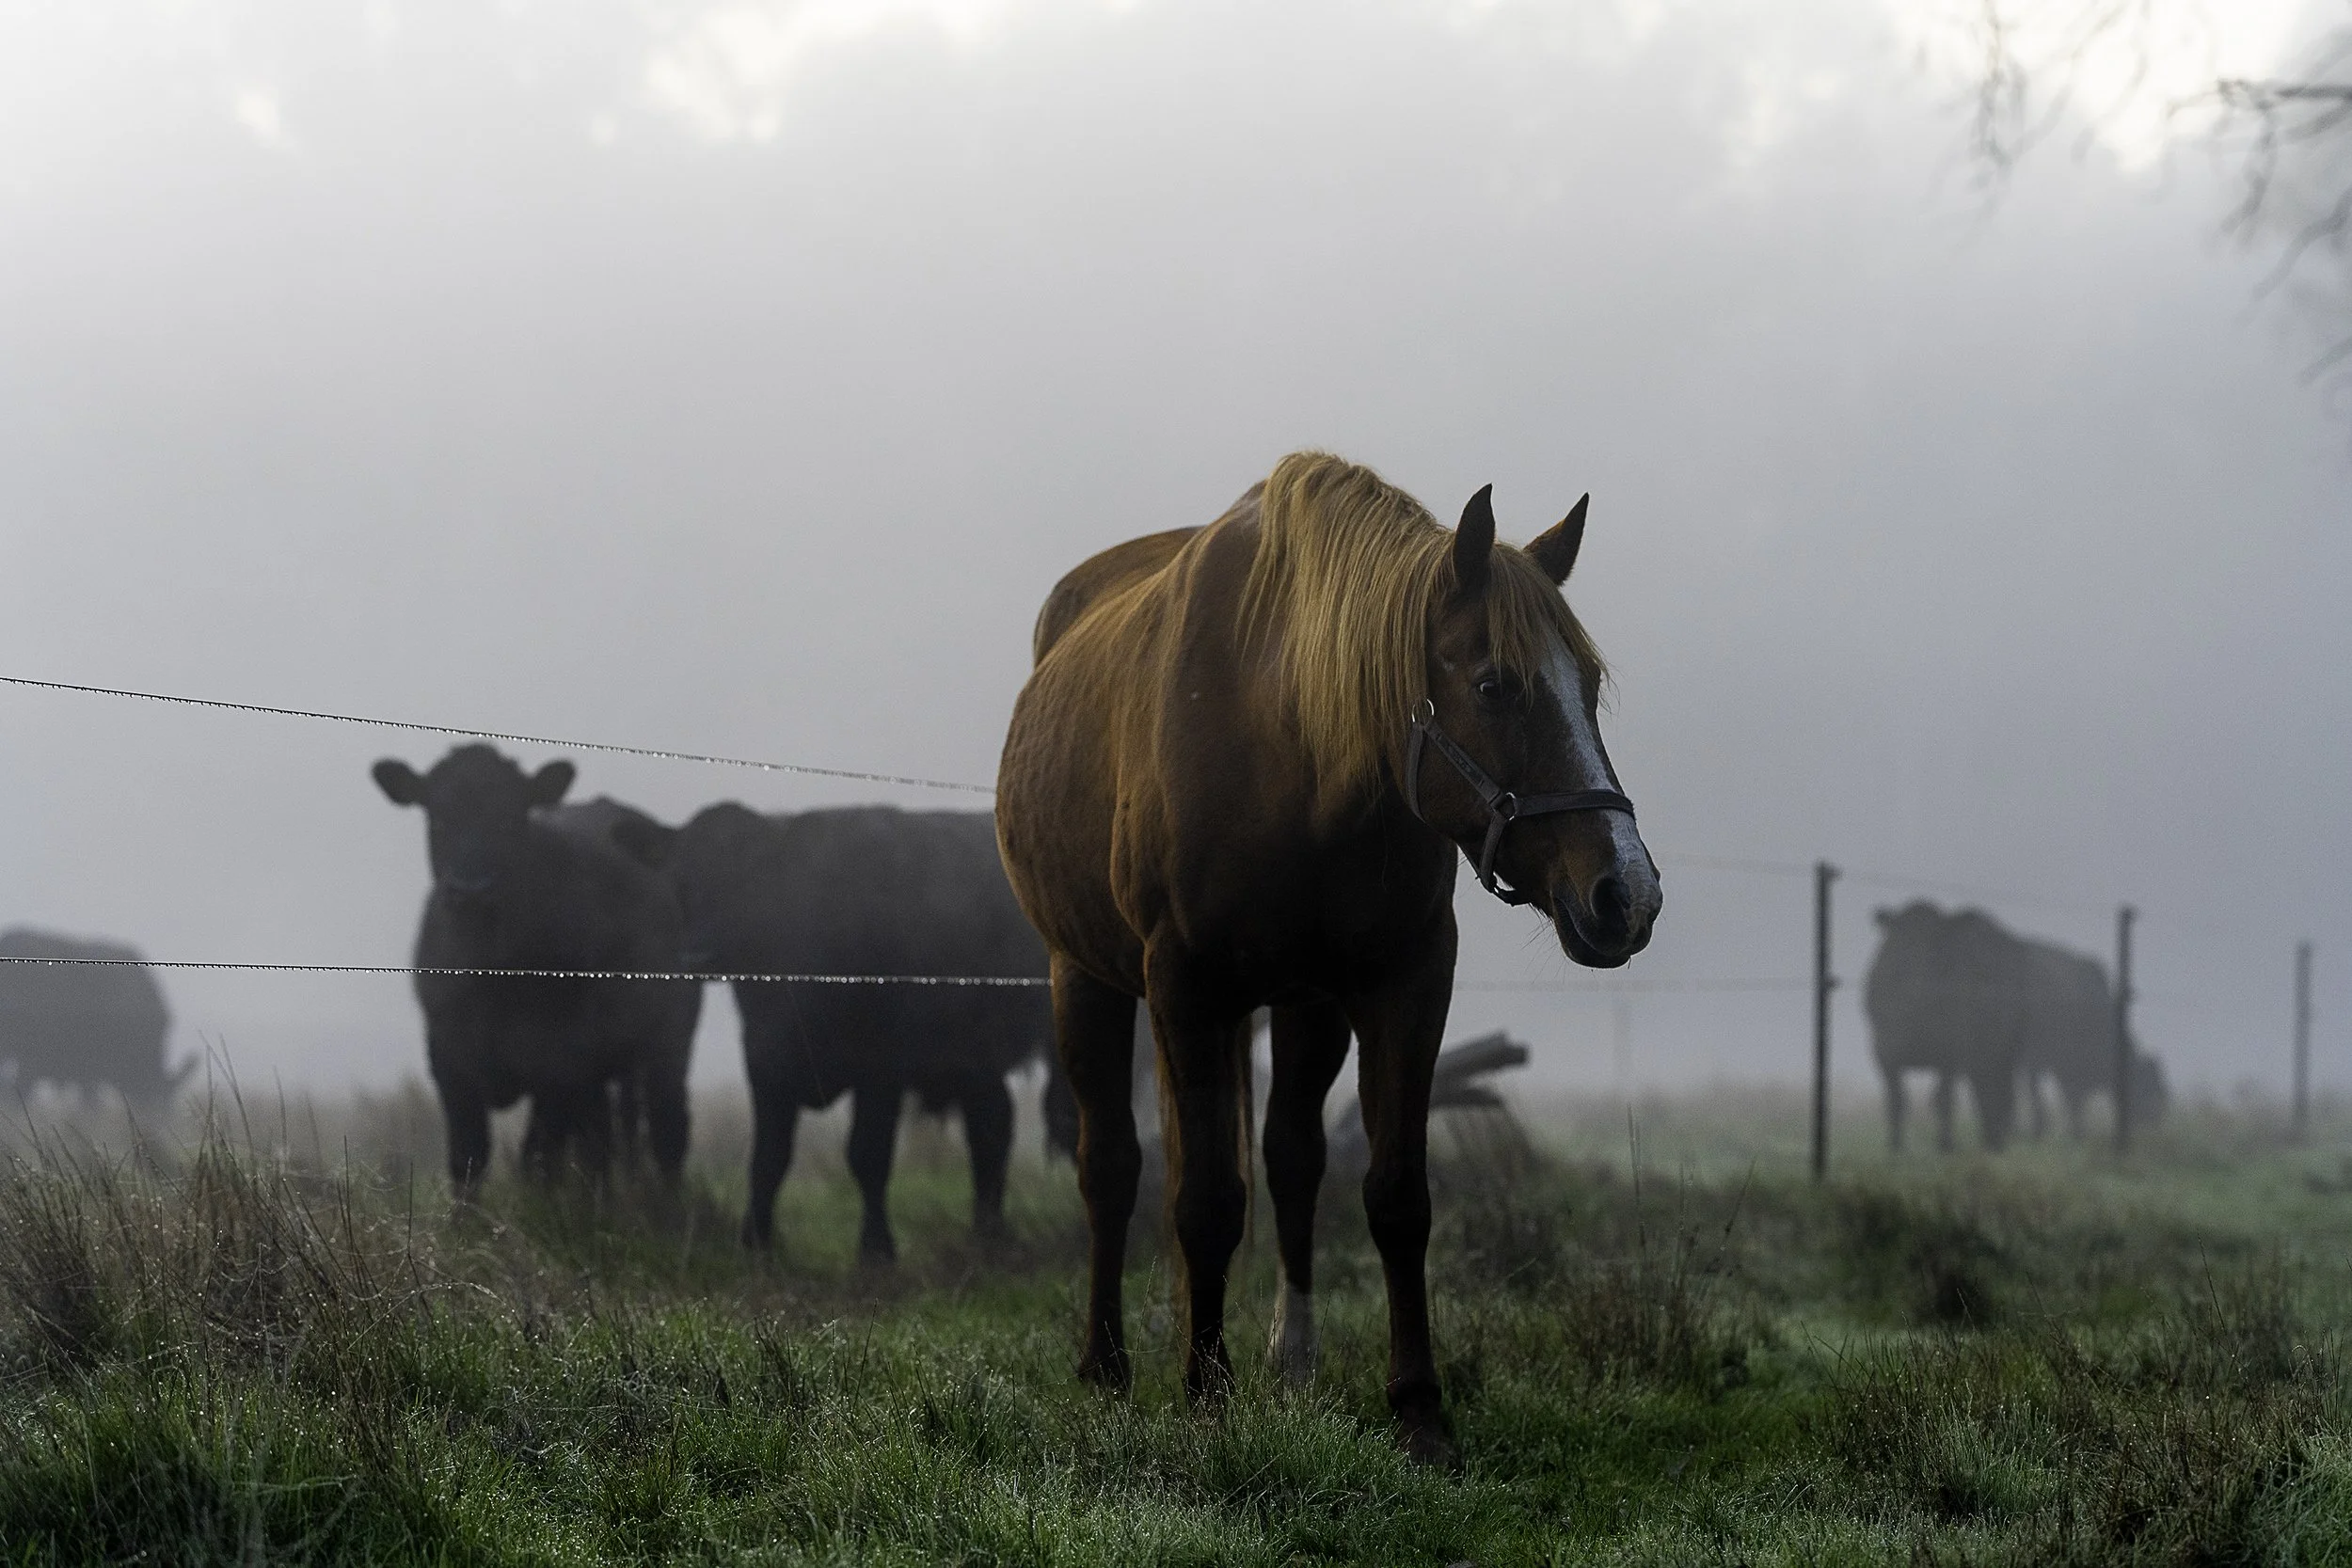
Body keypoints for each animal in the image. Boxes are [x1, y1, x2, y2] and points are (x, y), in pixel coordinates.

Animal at [372, 745, 699, 1193]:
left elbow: (537, 1157)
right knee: (604, 1139)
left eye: (511, 819)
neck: (493, 971)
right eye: (438, 818)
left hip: (669, 1041)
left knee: (668, 1132)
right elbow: (468, 1155)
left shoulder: (560, 1066)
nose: (471, 889)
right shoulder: (447, 1056)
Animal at [637, 802, 1056, 1259]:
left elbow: (867, 1154)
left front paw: (876, 1250)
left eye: (753, 880)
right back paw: (988, 1233)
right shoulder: (765, 1060)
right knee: (992, 1126)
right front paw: (754, 1242)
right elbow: (768, 1157)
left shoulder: (881, 1066)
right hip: (973, 1057)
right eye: (681, 881)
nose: (699, 955)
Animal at [994, 450, 1661, 1462]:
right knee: (1109, 1164)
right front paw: (1206, 1394)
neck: (1287, 740)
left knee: (1291, 1160)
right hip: (1084, 978)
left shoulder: (1403, 983)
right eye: (1495, 683)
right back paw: (1106, 1363)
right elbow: (1205, 1199)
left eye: (1586, 684)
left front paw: (1418, 1406)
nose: (1626, 893)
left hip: (1305, 1006)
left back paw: (1290, 1361)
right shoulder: (1185, 989)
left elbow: (1394, 1194)